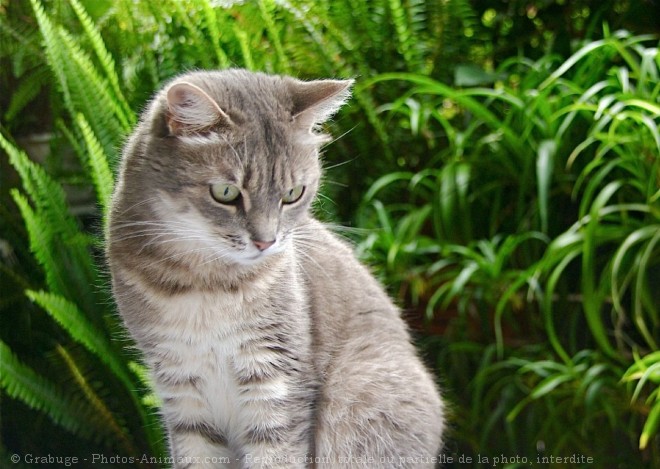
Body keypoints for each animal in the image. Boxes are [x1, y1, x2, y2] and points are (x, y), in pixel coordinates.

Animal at [108, 67, 446, 466]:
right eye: (225, 193)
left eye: (293, 194)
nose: (266, 242)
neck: (208, 282)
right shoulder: (180, 384)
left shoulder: (276, 378)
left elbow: (276, 454)